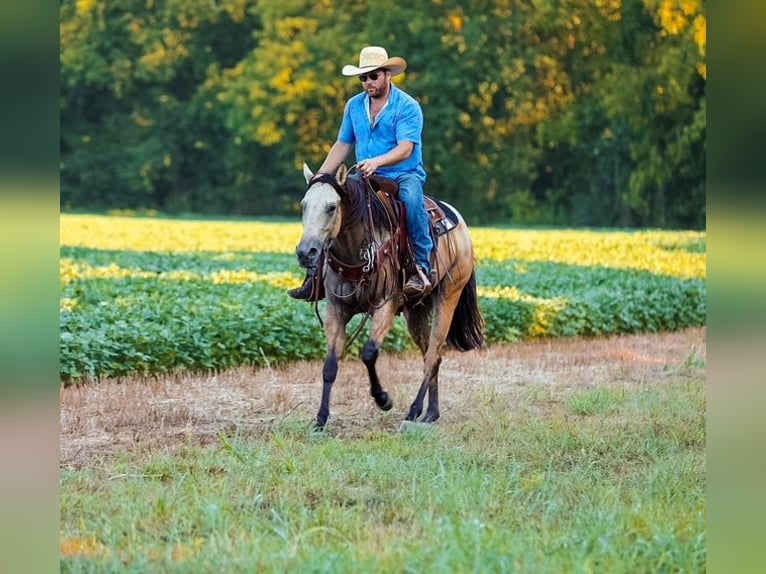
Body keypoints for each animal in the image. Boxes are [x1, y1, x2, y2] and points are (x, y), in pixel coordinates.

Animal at [295, 163, 484, 430]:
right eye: (304, 205)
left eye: (331, 207)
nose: (306, 253)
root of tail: (461, 226)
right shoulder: (337, 308)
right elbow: (330, 364)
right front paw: (320, 420)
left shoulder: (386, 304)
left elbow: (369, 353)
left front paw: (383, 399)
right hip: (416, 311)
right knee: (431, 355)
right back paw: (430, 413)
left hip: (448, 296)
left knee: (433, 355)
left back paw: (413, 412)